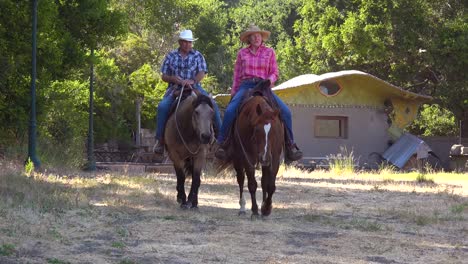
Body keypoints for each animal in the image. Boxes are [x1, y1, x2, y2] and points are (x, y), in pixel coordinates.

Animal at [221, 80, 284, 219]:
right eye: (257, 130)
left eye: (274, 131)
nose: (264, 157)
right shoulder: (247, 156)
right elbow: (252, 184)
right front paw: (255, 210)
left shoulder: (274, 157)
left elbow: (270, 185)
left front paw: (266, 208)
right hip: (238, 158)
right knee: (241, 179)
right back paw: (242, 207)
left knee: (264, 181)